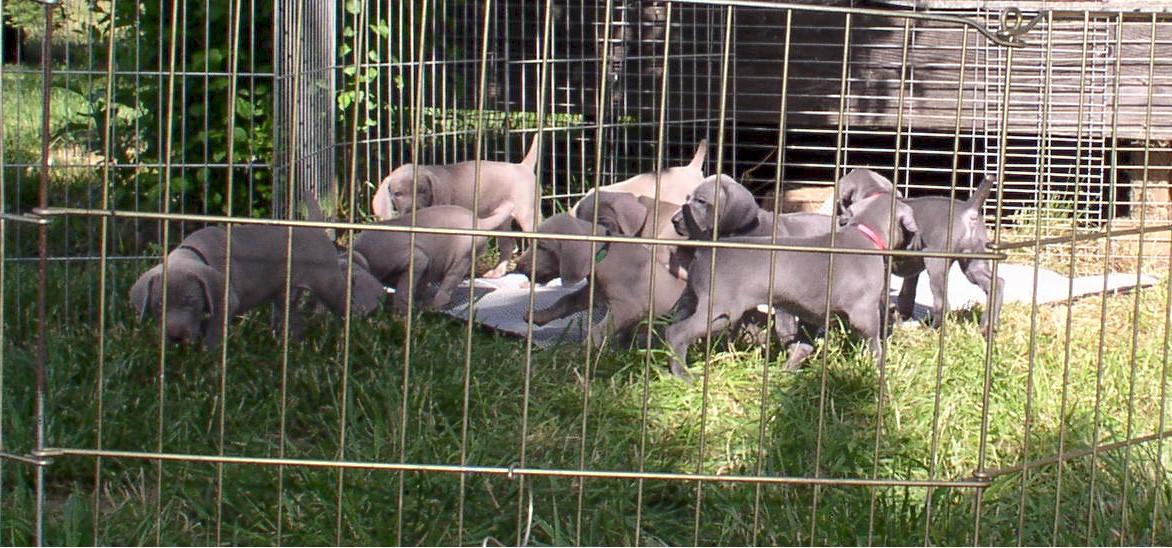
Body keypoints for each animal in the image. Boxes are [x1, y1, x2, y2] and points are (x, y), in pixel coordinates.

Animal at [344, 203, 515, 311]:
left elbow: (403, 290)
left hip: (461, 259)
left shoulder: (416, 259)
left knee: (448, 285)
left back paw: (434, 304)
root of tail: (479, 222)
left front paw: (400, 312)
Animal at [370, 133, 543, 278]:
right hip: (500, 218)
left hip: (528, 214)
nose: (413, 212)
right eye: (397, 194)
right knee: (508, 244)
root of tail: (522, 166)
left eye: (423, 190)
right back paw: (497, 272)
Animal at [665, 193, 918, 381]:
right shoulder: (864, 313)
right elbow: (874, 342)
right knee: (676, 333)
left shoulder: (812, 314)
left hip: (692, 300)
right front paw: (879, 368)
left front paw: (788, 371)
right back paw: (683, 375)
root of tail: (705, 249)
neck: (863, 233)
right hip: (721, 312)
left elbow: (801, 345)